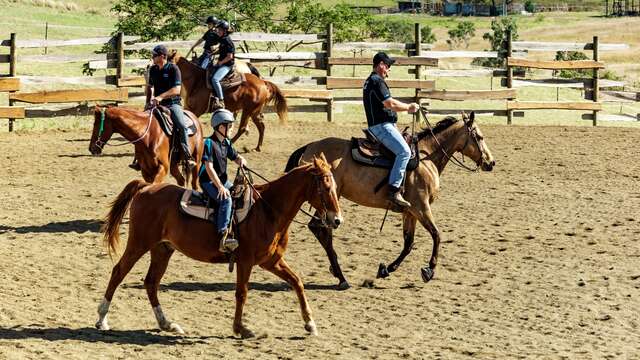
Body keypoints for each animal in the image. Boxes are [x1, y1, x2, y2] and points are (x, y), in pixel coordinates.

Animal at [94, 154, 340, 338]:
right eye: (326, 187)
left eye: (336, 186)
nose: (337, 220)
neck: (268, 210)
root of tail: (146, 188)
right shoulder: (245, 261)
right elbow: (242, 292)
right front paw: (241, 329)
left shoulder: (271, 261)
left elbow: (297, 282)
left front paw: (310, 324)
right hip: (139, 243)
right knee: (119, 272)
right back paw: (102, 319)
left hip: (162, 249)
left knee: (151, 283)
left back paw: (167, 323)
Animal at [284, 111, 496, 288]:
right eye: (479, 137)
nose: (491, 162)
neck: (427, 157)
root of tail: (309, 147)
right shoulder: (421, 207)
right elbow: (436, 235)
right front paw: (429, 270)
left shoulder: (410, 212)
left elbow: (408, 243)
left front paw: (386, 269)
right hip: (326, 199)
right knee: (321, 229)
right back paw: (341, 277)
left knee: (319, 229)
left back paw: (339, 274)